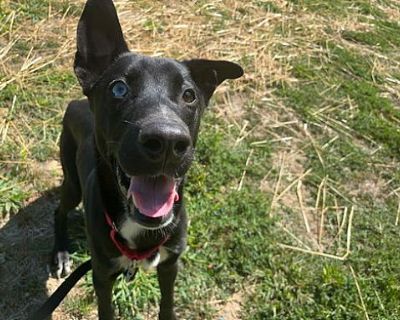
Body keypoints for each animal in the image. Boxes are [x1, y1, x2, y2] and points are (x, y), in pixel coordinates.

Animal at [50, 0, 244, 318]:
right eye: (118, 88)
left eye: (189, 95)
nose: (167, 142)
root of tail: (75, 103)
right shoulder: (102, 274)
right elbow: (106, 309)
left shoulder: (170, 263)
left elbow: (167, 303)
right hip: (72, 182)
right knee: (59, 210)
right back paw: (60, 252)